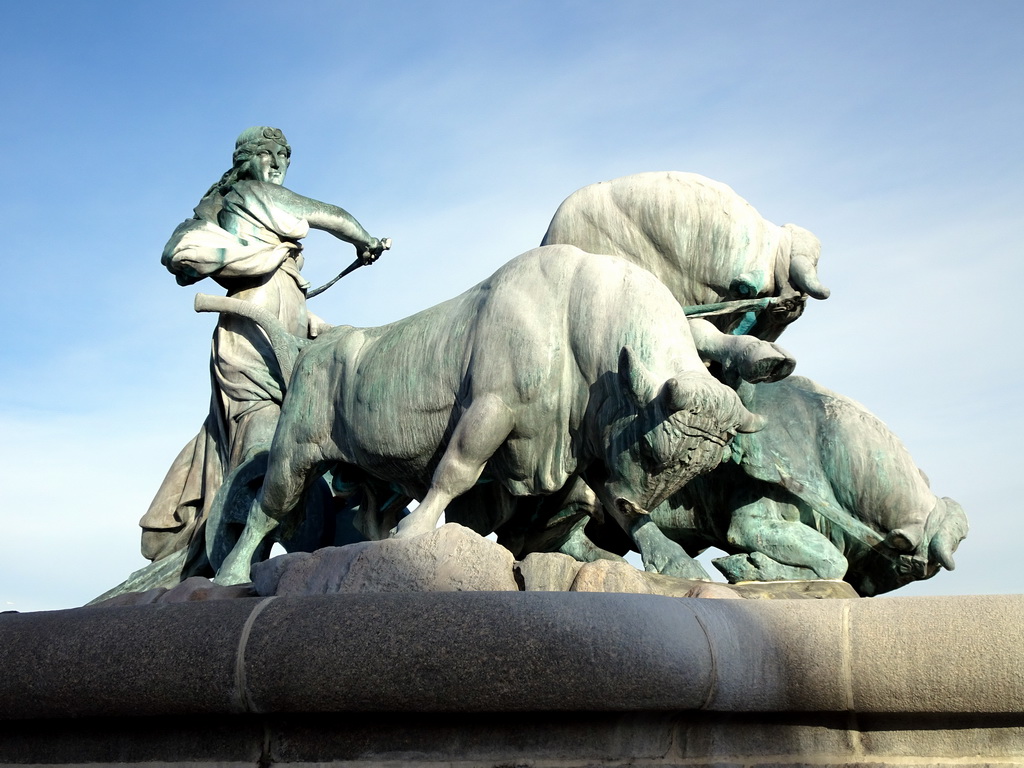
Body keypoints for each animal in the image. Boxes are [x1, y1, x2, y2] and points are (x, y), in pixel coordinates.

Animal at [211, 246, 765, 581]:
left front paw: (674, 561)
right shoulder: (493, 410)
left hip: (372, 475)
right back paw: (233, 574)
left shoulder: (585, 444)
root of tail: (310, 349)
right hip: (293, 452)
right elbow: (456, 470)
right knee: (265, 508)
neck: (573, 319)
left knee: (368, 512)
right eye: (650, 449)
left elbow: (613, 501)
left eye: (697, 470)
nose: (638, 500)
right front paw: (417, 533)